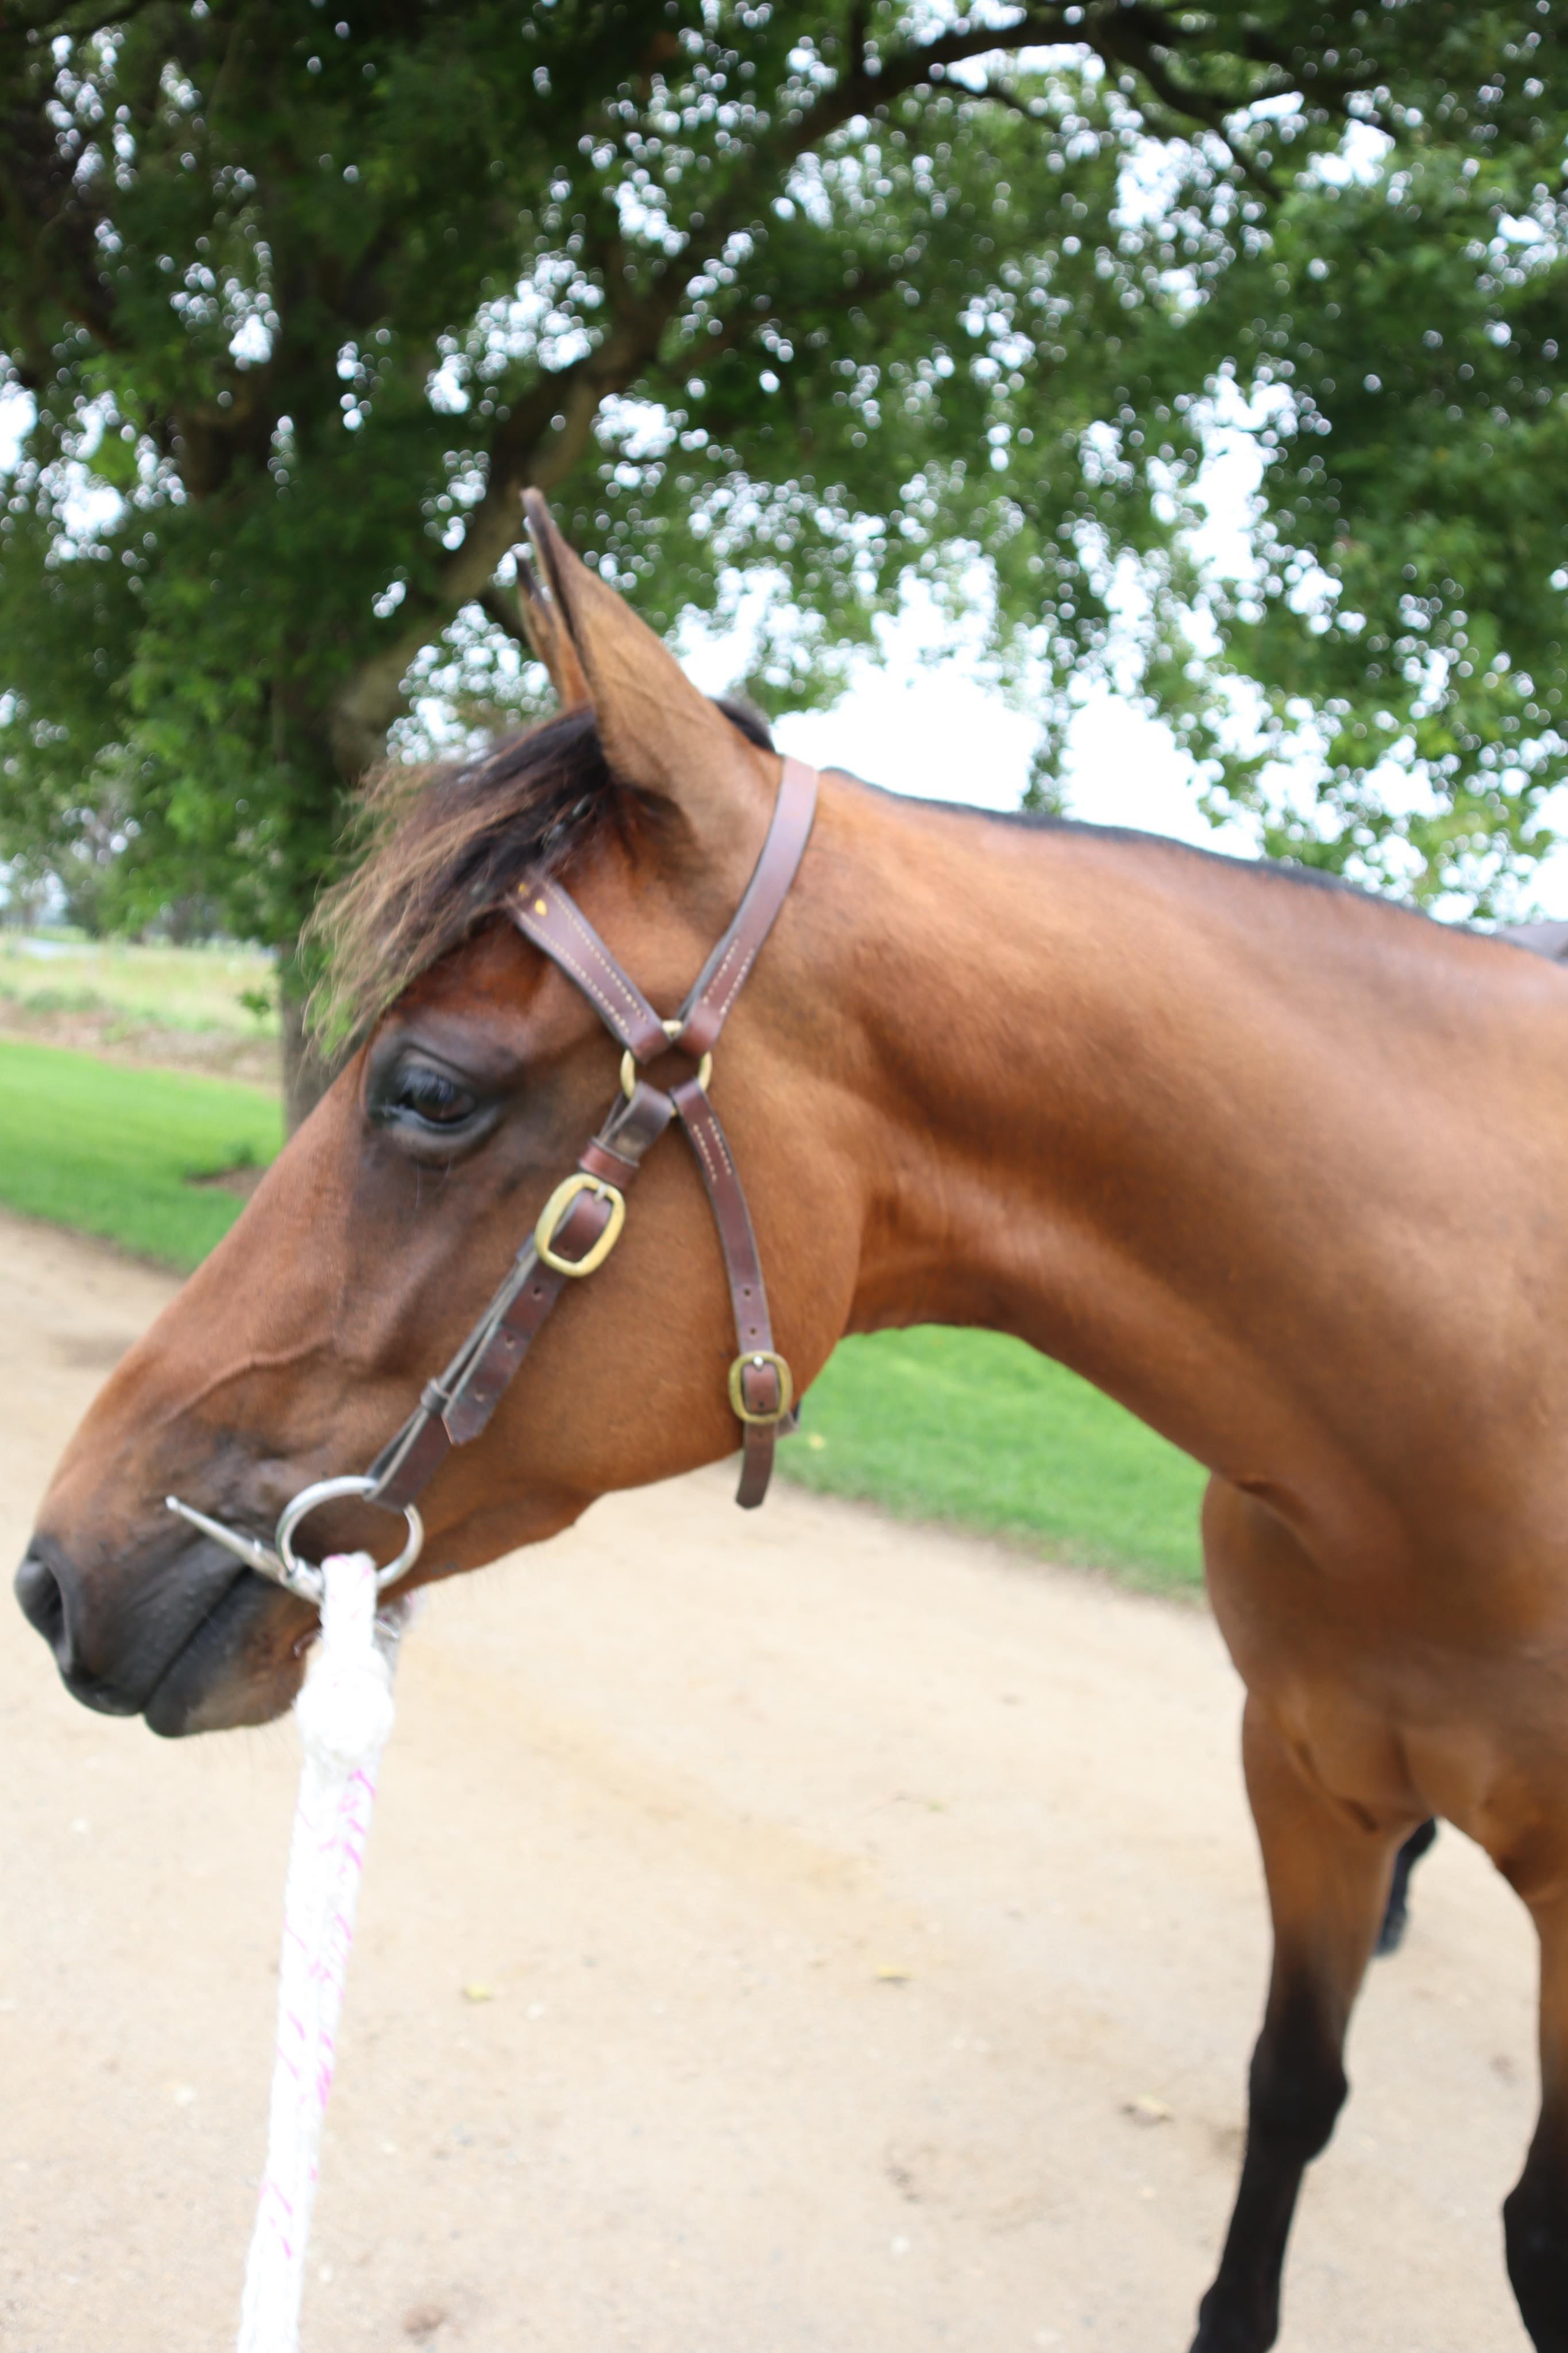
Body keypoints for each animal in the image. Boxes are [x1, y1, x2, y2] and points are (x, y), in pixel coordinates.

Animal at [17, 492, 1568, 2351]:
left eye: (430, 1090)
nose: (52, 1573)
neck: (1457, 1420)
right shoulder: (1304, 1777)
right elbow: (1288, 2095)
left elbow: (1530, 2224)